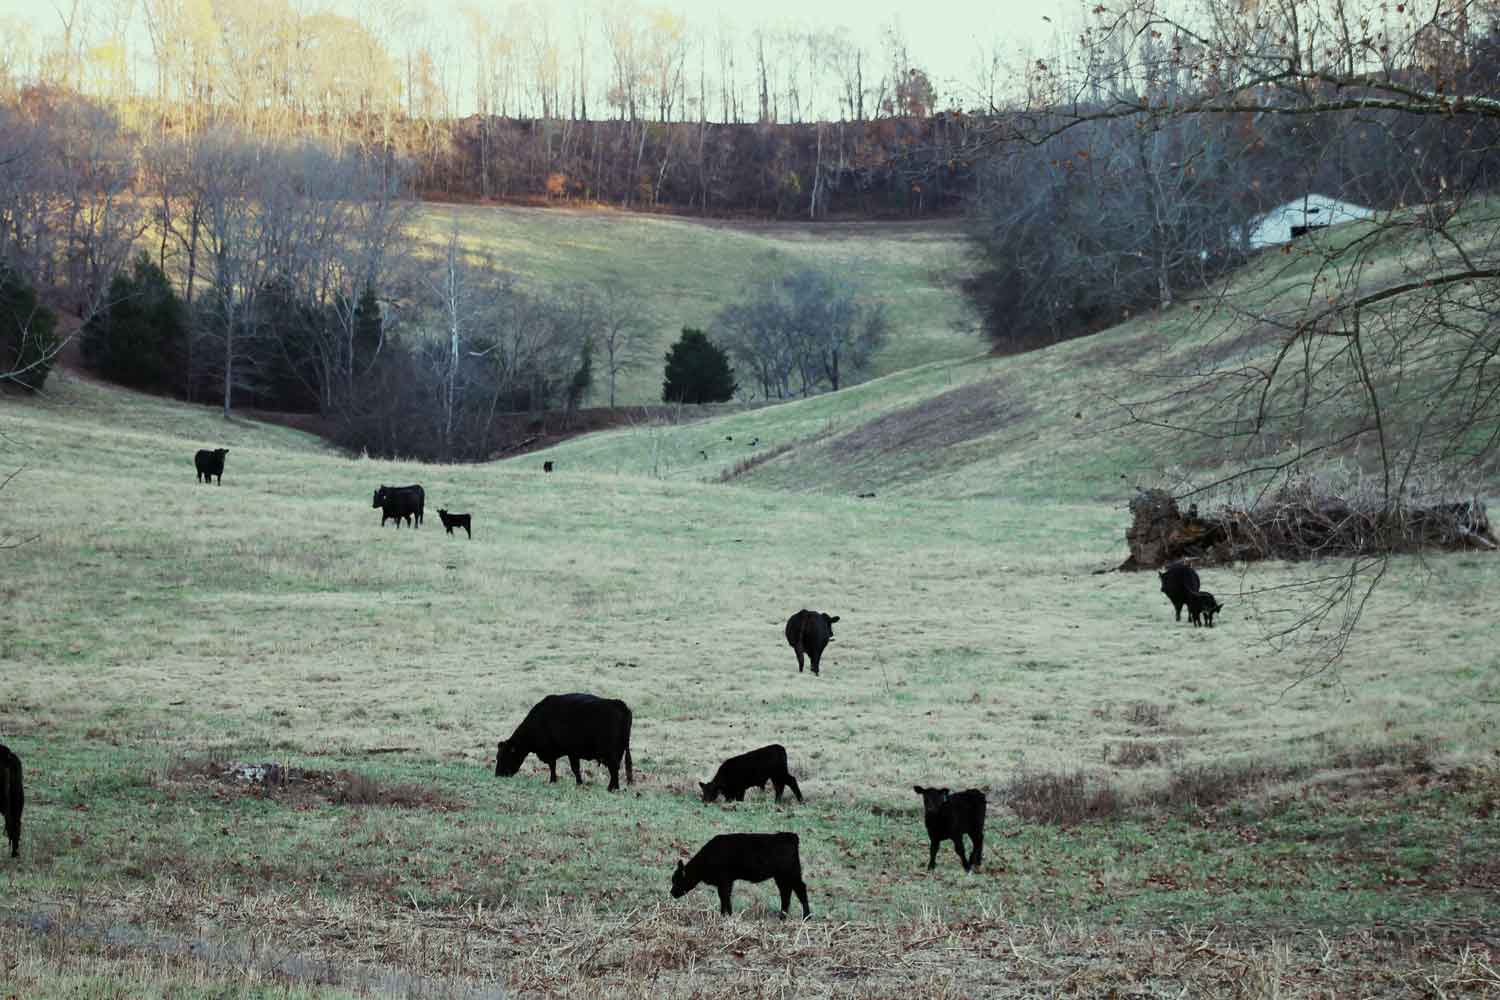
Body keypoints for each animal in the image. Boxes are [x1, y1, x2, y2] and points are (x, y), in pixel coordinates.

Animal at [495, 693, 633, 791]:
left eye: (504, 756)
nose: (497, 775)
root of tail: (619, 703)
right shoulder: (570, 753)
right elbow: (569, 768)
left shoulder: (559, 751)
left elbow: (560, 766)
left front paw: (555, 781)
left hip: (611, 753)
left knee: (614, 768)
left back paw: (611, 788)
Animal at [670, 832, 810, 918]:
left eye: (677, 880)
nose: (672, 893)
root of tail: (789, 836)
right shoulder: (728, 882)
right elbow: (726, 897)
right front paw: (728, 914)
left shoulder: (723, 881)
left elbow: (724, 897)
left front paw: (724, 915)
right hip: (782, 877)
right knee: (786, 893)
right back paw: (782, 916)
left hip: (790, 874)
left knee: (800, 890)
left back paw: (806, 916)